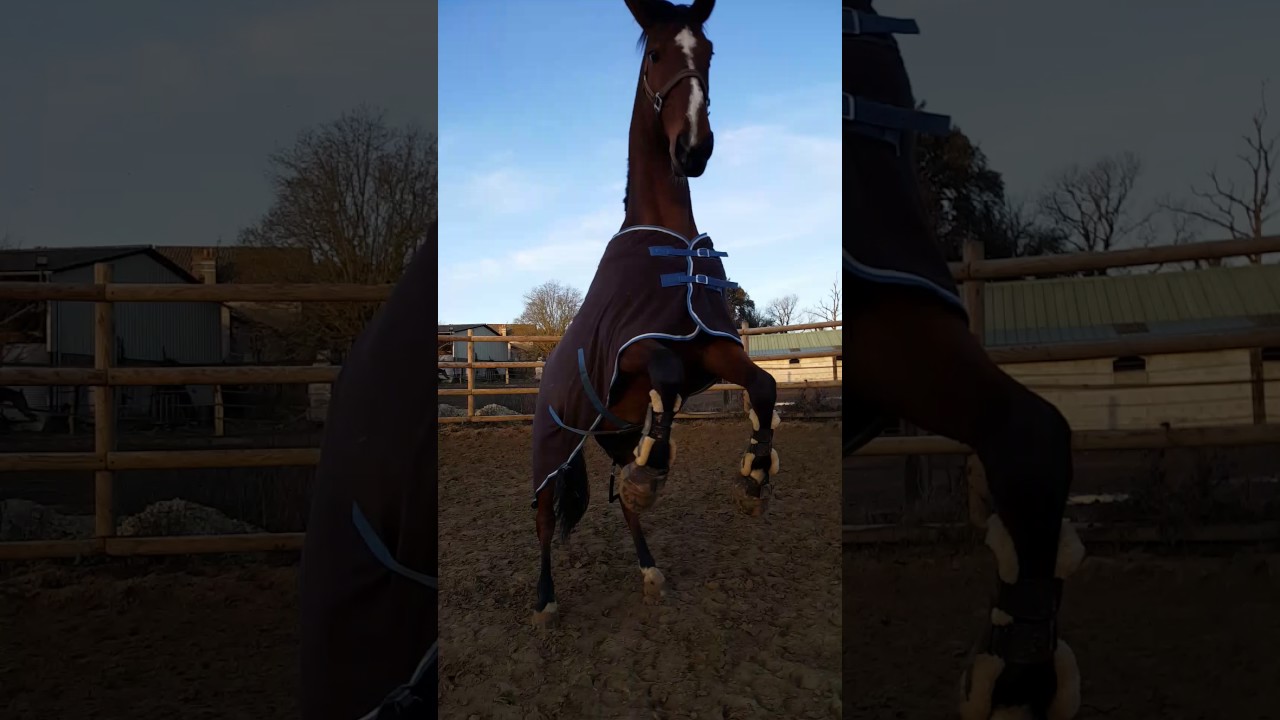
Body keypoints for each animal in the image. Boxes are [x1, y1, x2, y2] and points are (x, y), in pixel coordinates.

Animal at [527, 0, 781, 627]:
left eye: (707, 52)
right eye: (657, 54)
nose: (693, 148)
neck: (673, 241)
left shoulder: (712, 350)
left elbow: (762, 386)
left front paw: (755, 475)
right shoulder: (637, 351)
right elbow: (663, 372)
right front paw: (663, 465)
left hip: (612, 436)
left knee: (625, 505)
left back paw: (649, 569)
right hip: (552, 448)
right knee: (544, 518)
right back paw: (545, 600)